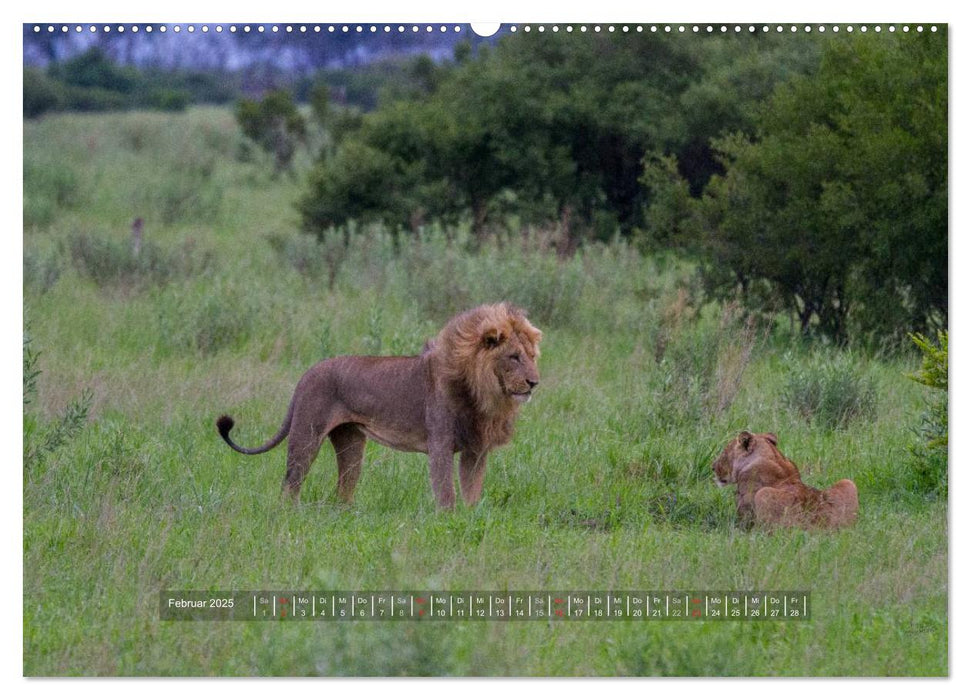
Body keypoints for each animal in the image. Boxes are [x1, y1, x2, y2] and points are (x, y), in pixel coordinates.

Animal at [215, 300, 544, 508]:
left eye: (531, 356)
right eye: (514, 357)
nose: (534, 382)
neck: (482, 391)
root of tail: (308, 373)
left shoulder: (475, 449)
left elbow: (472, 491)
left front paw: (471, 518)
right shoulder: (440, 443)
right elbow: (446, 492)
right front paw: (448, 520)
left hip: (350, 442)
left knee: (343, 489)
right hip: (306, 435)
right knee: (290, 483)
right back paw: (290, 515)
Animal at [712, 430, 860, 528]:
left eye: (724, 453)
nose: (712, 467)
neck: (772, 456)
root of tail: (822, 526)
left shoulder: (745, 510)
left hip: (764, 495)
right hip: (848, 483)